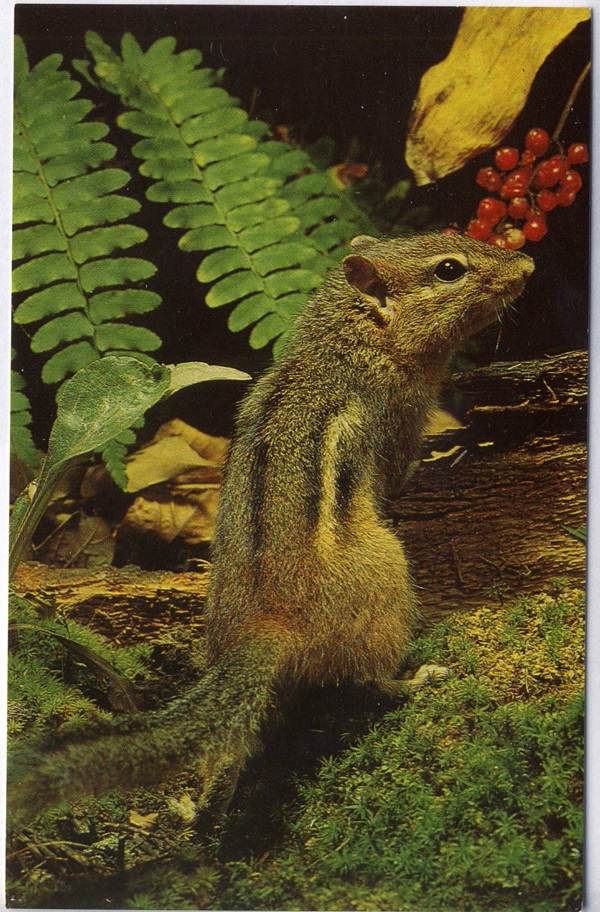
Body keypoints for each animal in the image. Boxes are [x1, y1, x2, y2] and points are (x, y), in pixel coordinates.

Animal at [8, 232, 534, 824]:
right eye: (449, 270)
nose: (527, 264)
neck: (347, 339)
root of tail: (267, 625)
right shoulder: (399, 418)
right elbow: (404, 471)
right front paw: (455, 449)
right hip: (389, 575)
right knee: (364, 682)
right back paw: (416, 678)